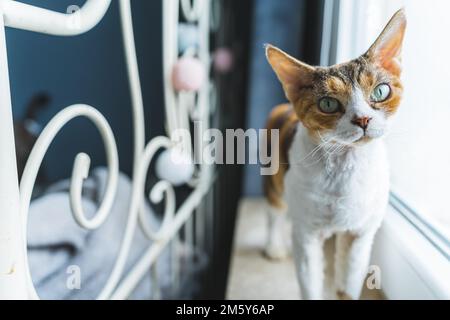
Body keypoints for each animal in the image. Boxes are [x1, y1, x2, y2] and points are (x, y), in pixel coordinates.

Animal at [262, 9, 406, 300]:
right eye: (328, 103)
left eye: (380, 91)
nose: (362, 119)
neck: (346, 166)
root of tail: (283, 107)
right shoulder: (307, 233)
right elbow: (310, 279)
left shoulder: (360, 234)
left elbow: (349, 281)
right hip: (274, 175)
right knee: (275, 209)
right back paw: (275, 245)